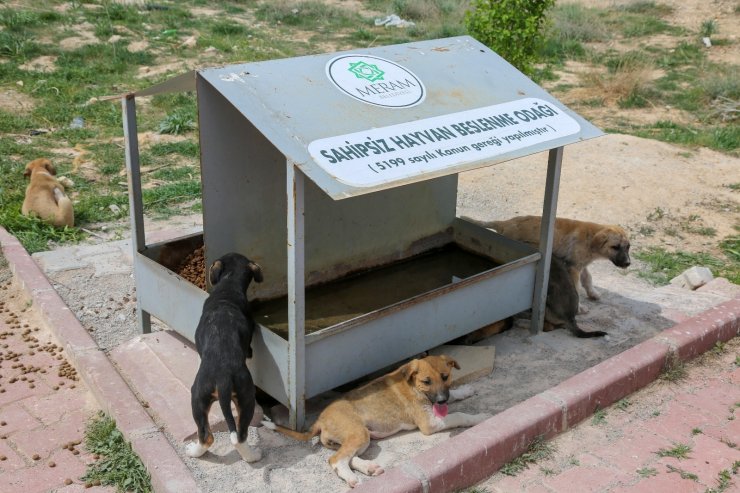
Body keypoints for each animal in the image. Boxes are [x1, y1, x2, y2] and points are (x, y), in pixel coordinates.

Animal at [185, 254, 264, 462]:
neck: (229, 285)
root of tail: (223, 378)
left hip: (200, 396)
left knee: (214, 436)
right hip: (241, 397)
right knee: (231, 436)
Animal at [264, 356, 488, 486]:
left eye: (445, 376)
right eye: (426, 381)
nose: (441, 400)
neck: (414, 385)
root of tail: (320, 419)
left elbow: (455, 395)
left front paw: (465, 390)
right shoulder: (429, 423)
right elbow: (459, 415)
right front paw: (479, 418)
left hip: (359, 438)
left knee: (347, 457)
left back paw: (369, 468)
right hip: (358, 433)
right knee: (336, 460)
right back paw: (353, 478)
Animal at [462, 214, 632, 300]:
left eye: (628, 247)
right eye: (615, 247)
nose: (628, 263)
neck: (590, 239)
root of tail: (505, 223)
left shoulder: (580, 264)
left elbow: (588, 279)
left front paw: (593, 293)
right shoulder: (573, 268)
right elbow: (576, 287)